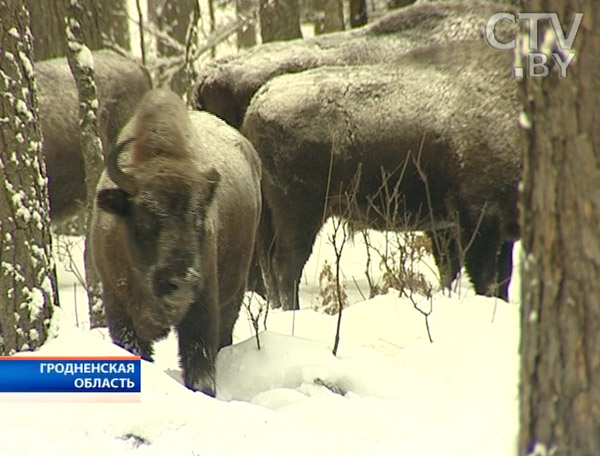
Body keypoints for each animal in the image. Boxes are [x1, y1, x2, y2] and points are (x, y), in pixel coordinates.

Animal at [91, 89, 262, 396]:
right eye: (144, 218)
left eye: (199, 218)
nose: (181, 282)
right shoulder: (118, 307)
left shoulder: (202, 307)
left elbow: (199, 365)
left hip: (234, 291)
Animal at [241, 40, 524, 310]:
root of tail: (257, 103)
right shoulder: (478, 220)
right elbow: (485, 277)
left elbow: (494, 276)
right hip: (302, 214)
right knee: (286, 265)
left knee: (270, 266)